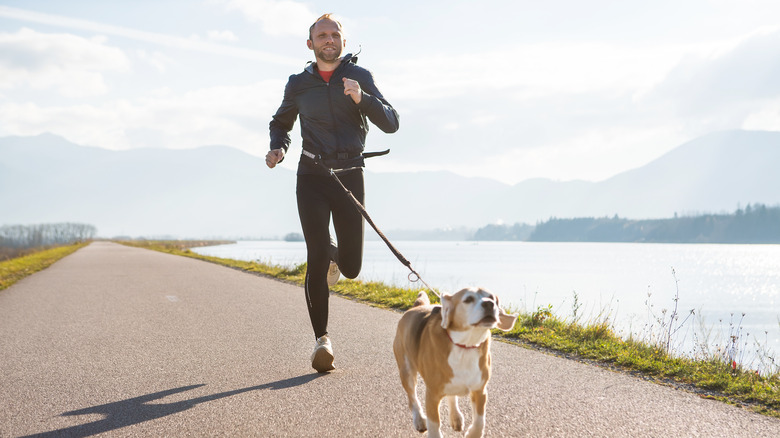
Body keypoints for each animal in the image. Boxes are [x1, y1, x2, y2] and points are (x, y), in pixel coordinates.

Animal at [394, 288, 516, 438]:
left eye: (492, 298)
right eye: (468, 299)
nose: (489, 304)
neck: (465, 345)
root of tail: (416, 307)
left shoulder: (480, 391)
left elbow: (480, 421)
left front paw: (472, 434)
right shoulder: (432, 395)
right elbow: (434, 424)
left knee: (452, 395)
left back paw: (455, 417)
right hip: (406, 372)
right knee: (413, 399)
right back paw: (419, 420)